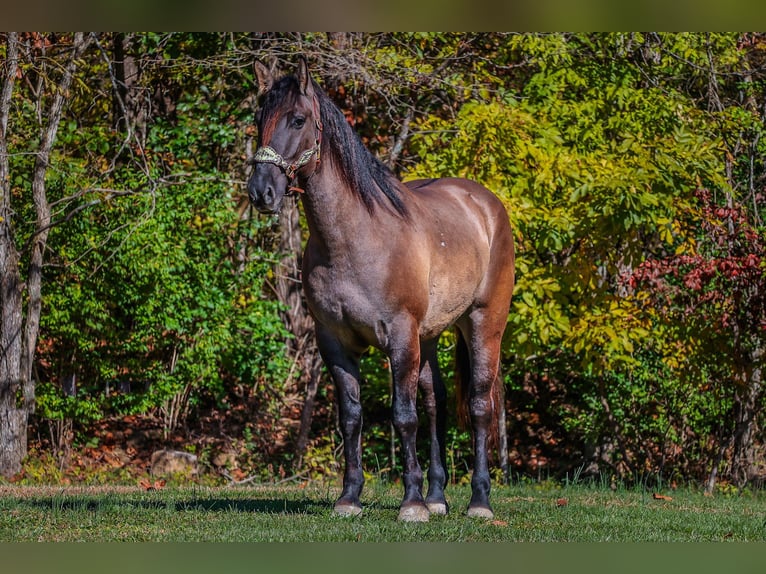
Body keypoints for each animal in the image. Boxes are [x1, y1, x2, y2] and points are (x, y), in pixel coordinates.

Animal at [247, 57, 515, 522]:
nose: (261, 192)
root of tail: (485, 204)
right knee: (436, 404)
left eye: (297, 119)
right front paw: (349, 498)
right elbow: (351, 417)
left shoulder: (400, 337)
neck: (355, 239)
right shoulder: (334, 342)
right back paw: (438, 497)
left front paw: (411, 505)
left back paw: (478, 502)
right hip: (429, 337)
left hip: (483, 323)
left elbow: (402, 416)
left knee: (480, 405)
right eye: (257, 120)